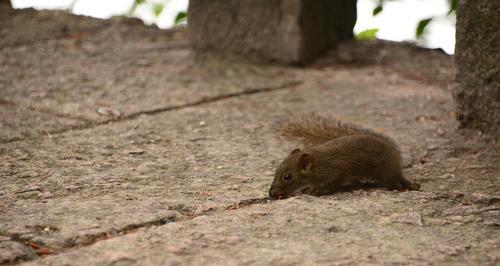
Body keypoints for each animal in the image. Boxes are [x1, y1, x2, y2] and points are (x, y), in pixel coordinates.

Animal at [270, 112, 418, 200]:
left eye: (287, 177)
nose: (271, 193)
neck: (317, 164)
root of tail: (393, 152)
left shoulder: (337, 169)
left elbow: (331, 184)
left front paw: (317, 190)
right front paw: (307, 188)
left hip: (386, 173)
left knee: (397, 178)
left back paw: (405, 186)